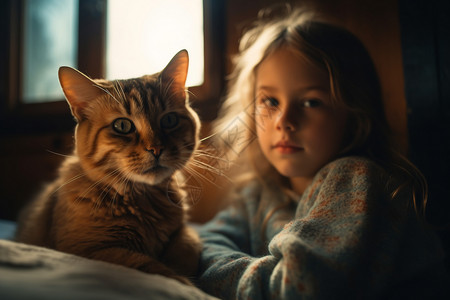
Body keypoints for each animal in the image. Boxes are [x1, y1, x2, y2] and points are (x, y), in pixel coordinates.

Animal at [15, 49, 201, 286]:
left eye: (169, 120)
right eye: (122, 126)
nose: (157, 148)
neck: (141, 198)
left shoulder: (184, 231)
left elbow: (189, 244)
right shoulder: (87, 250)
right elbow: (155, 268)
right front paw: (187, 285)